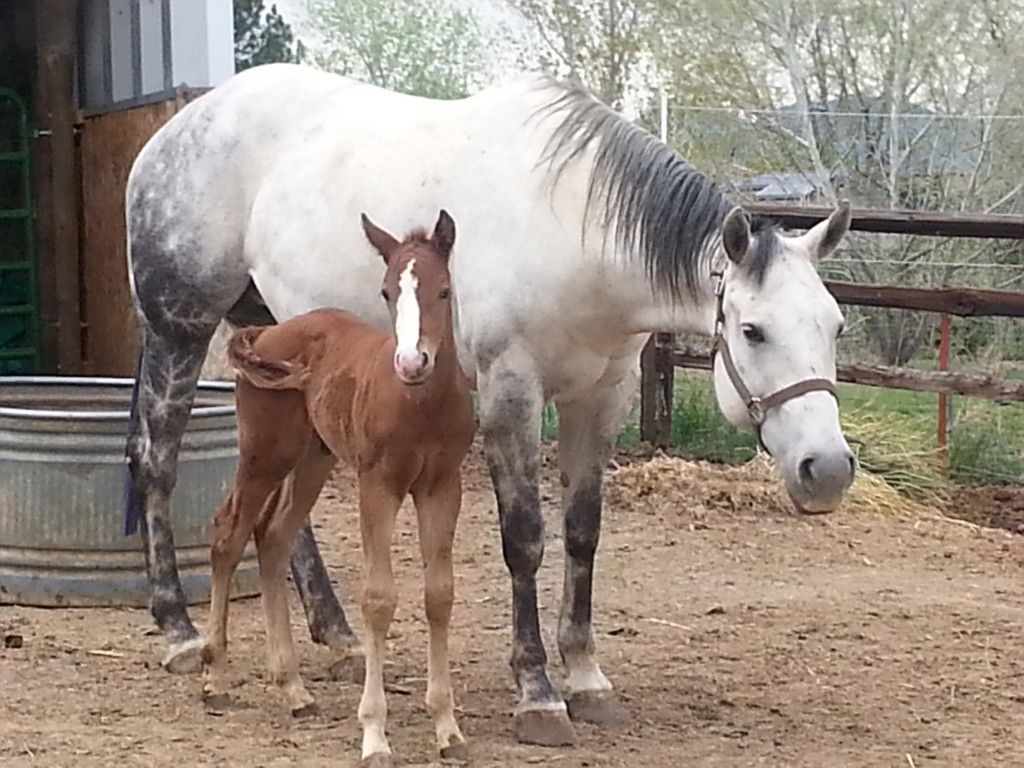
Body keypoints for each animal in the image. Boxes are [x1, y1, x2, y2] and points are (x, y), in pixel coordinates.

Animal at [201, 208, 477, 765]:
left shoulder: (443, 486)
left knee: (274, 537)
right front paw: (374, 735)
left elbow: (439, 594)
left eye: (443, 290)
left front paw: (447, 728)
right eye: (387, 291)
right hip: (266, 455)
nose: (411, 362)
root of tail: (266, 331)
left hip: (313, 459)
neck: (420, 406)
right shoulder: (378, 485)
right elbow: (378, 599)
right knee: (229, 533)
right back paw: (216, 676)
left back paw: (294, 689)